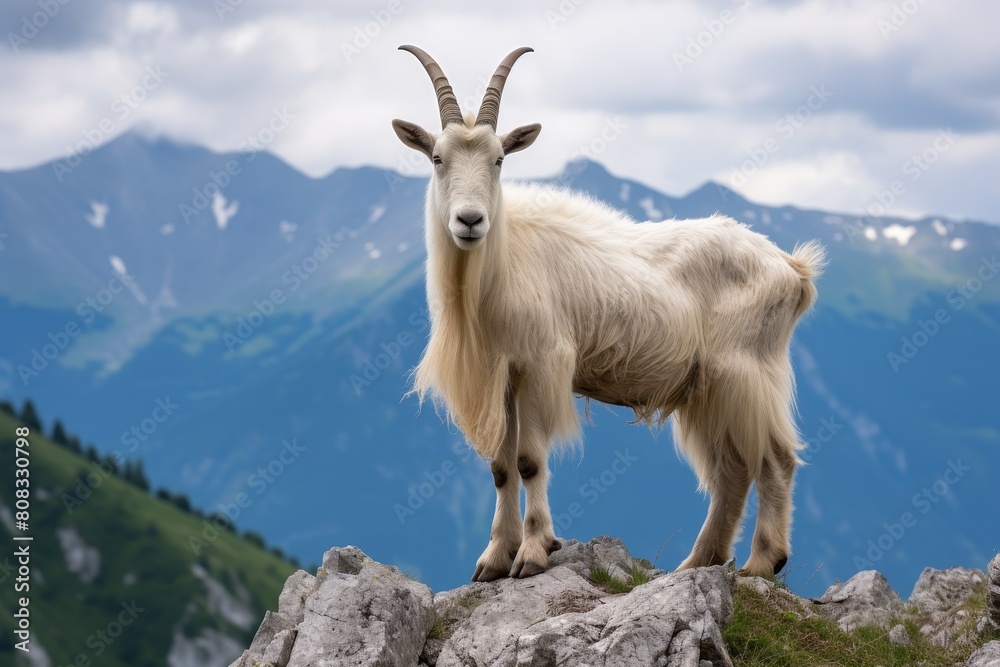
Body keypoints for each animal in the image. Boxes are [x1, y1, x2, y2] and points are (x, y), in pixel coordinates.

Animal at [392, 45, 826, 581]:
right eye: (437, 158)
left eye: (498, 159)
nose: (470, 220)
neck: (503, 264)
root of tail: (792, 268)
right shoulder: (503, 375)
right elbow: (500, 466)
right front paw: (493, 559)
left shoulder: (541, 365)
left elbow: (529, 459)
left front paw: (533, 552)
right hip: (708, 387)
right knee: (734, 468)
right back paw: (697, 561)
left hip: (746, 372)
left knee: (774, 459)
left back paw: (763, 563)